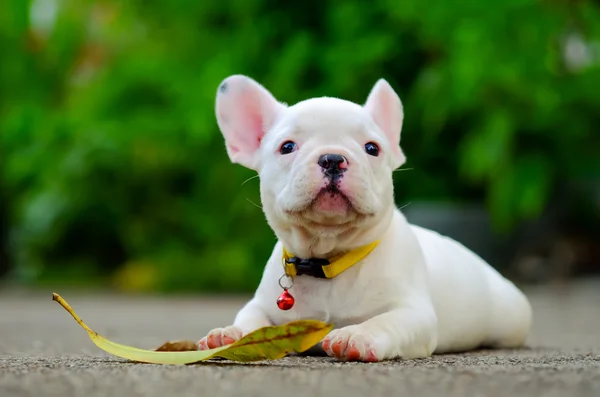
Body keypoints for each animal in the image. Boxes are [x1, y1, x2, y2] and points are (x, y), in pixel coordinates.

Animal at [199, 75, 532, 362]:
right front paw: (230, 335)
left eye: (372, 148)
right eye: (287, 147)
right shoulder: (262, 304)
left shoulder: (414, 314)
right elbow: (251, 319)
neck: (329, 260)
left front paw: (357, 335)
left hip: (511, 317)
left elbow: (386, 322)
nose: (333, 158)